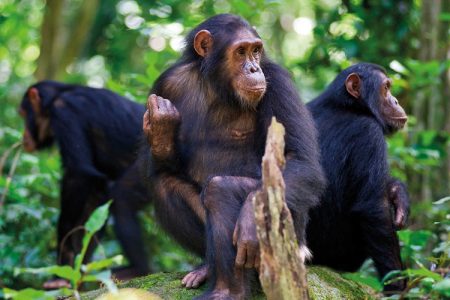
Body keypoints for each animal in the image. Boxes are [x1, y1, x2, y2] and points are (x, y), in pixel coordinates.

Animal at [18, 81, 149, 288]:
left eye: (23, 114)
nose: (23, 135)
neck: (56, 97)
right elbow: (95, 199)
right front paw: (74, 272)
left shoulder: (64, 113)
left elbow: (79, 174)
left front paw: (63, 262)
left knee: (122, 200)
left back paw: (138, 270)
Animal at [142, 14, 326, 300]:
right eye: (240, 52)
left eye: (256, 50)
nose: (253, 68)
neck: (217, 85)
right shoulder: (166, 84)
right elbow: (164, 167)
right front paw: (161, 128)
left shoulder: (278, 83)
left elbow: (301, 159)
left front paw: (250, 218)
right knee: (165, 184)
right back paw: (208, 270)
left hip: (292, 239)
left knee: (221, 189)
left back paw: (229, 291)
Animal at [306, 62, 412, 292]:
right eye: (386, 88)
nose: (396, 100)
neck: (347, 106)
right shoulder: (369, 134)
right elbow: (374, 209)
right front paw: (397, 287)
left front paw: (398, 193)